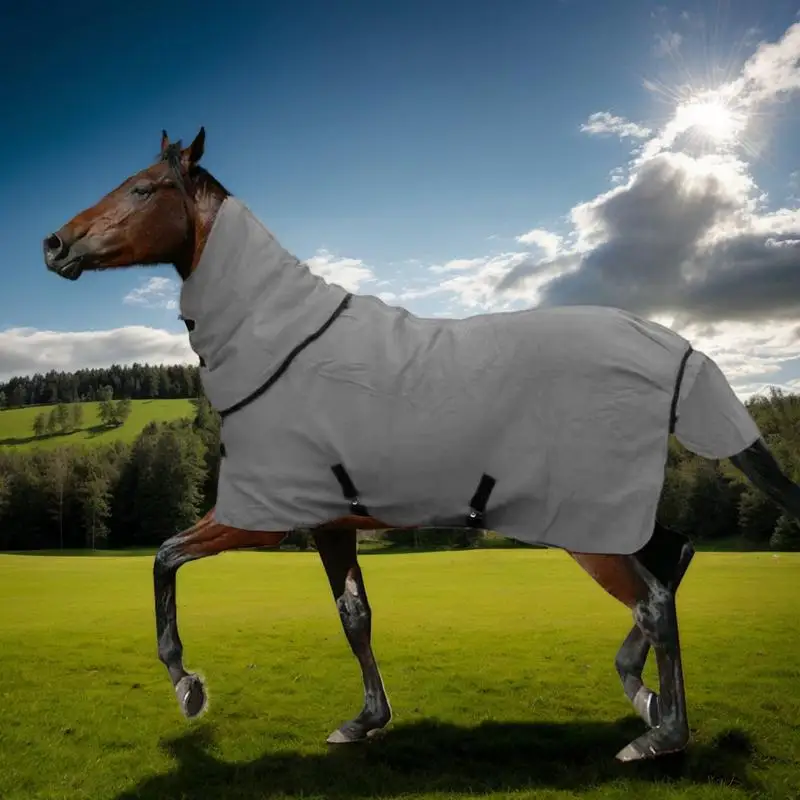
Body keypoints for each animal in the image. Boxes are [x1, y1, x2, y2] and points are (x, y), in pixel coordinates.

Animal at [42, 127, 800, 763]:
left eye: (144, 188)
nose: (55, 243)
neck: (285, 345)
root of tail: (676, 349)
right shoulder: (330, 523)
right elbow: (354, 618)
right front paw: (363, 722)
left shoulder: (260, 519)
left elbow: (164, 558)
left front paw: (188, 686)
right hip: (613, 514)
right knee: (677, 554)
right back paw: (642, 697)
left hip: (591, 528)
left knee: (655, 599)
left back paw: (660, 737)